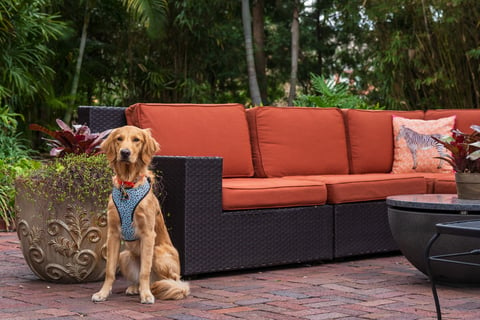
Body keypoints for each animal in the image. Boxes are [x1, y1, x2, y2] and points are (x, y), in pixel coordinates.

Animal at [92, 125, 189, 304]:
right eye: (119, 139)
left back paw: (155, 289)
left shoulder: (148, 234)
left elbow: (145, 270)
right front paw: (103, 293)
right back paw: (135, 288)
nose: (124, 152)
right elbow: (109, 271)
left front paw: (146, 295)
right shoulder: (113, 234)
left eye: (136, 140)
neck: (127, 185)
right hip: (124, 255)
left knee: (171, 280)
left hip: (159, 253)